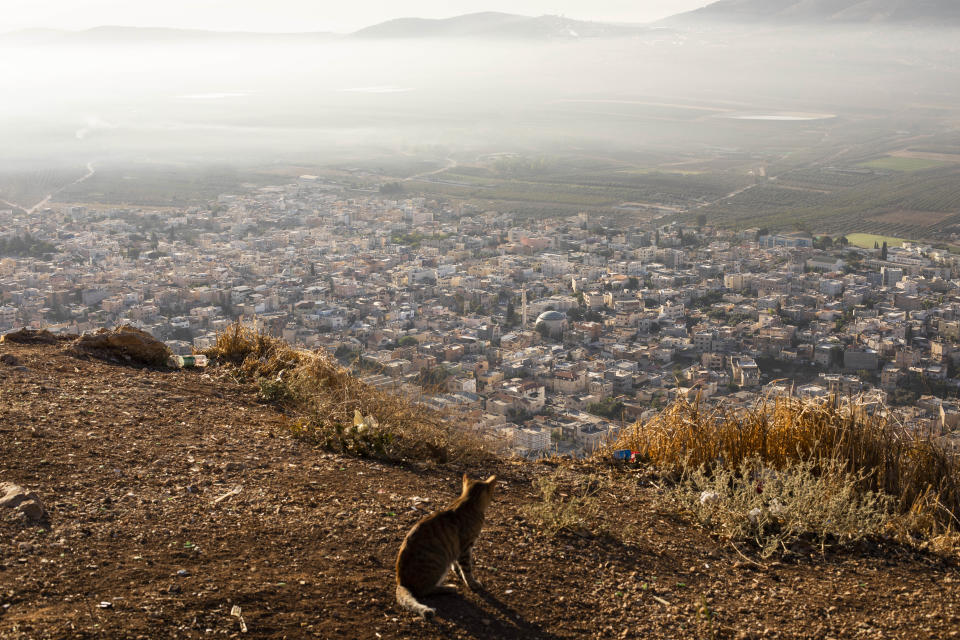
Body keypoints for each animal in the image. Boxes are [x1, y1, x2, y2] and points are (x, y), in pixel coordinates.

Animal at [396, 472, 498, 616]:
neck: (468, 502)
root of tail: (401, 582)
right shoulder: (466, 547)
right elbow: (467, 569)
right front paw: (472, 583)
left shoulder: (456, 549)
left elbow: (457, 563)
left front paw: (458, 571)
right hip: (438, 564)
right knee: (424, 591)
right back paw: (448, 587)